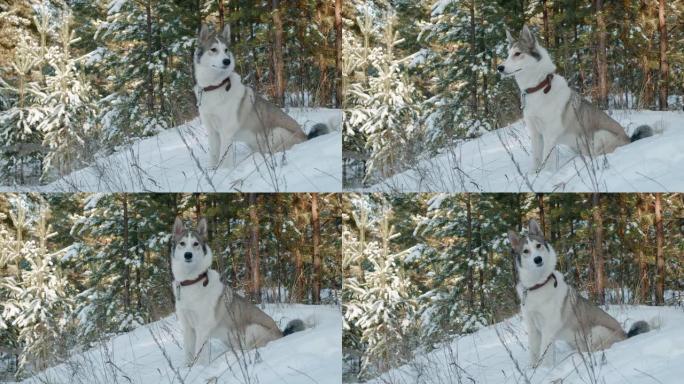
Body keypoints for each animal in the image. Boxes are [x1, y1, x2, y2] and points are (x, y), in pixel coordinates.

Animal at [171, 218, 304, 364]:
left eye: (196, 244)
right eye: (182, 243)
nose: (188, 255)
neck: (191, 281)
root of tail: (281, 333)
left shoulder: (203, 327)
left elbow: (199, 354)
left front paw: (198, 367)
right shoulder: (187, 327)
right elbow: (188, 353)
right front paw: (187, 367)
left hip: (252, 329)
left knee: (254, 348)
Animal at [192, 24, 332, 168]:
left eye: (226, 50)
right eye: (213, 49)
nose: (227, 61)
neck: (215, 86)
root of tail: (306, 137)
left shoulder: (226, 132)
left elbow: (224, 160)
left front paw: (224, 171)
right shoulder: (212, 132)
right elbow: (214, 155)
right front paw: (211, 169)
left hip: (276, 133)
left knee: (273, 151)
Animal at [496, 25, 652, 172]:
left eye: (517, 53)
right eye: (508, 55)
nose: (499, 68)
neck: (539, 87)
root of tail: (629, 139)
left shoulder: (549, 134)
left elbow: (546, 160)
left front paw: (544, 174)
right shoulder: (535, 133)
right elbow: (536, 159)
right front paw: (534, 174)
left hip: (599, 135)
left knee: (597, 155)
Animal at [510, 219, 648, 366]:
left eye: (538, 245)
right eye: (526, 251)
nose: (538, 259)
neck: (538, 285)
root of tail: (626, 335)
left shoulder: (548, 328)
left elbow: (544, 355)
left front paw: (544, 369)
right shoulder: (532, 328)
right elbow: (534, 353)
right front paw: (533, 368)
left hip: (596, 331)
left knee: (596, 350)